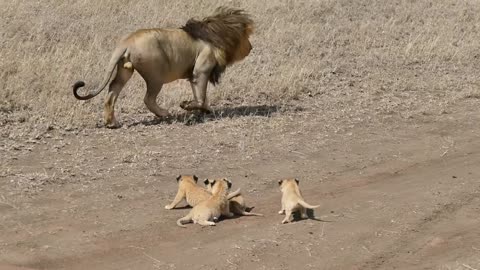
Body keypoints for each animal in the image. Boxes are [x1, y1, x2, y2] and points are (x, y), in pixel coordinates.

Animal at [72, 6, 253, 127]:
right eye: (246, 37)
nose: (251, 47)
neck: (216, 33)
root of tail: (127, 41)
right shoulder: (200, 71)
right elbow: (200, 97)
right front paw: (186, 105)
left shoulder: (194, 75)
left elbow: (200, 96)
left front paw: (204, 110)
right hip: (155, 76)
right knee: (148, 99)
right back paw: (164, 113)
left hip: (125, 69)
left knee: (112, 91)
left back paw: (111, 123)